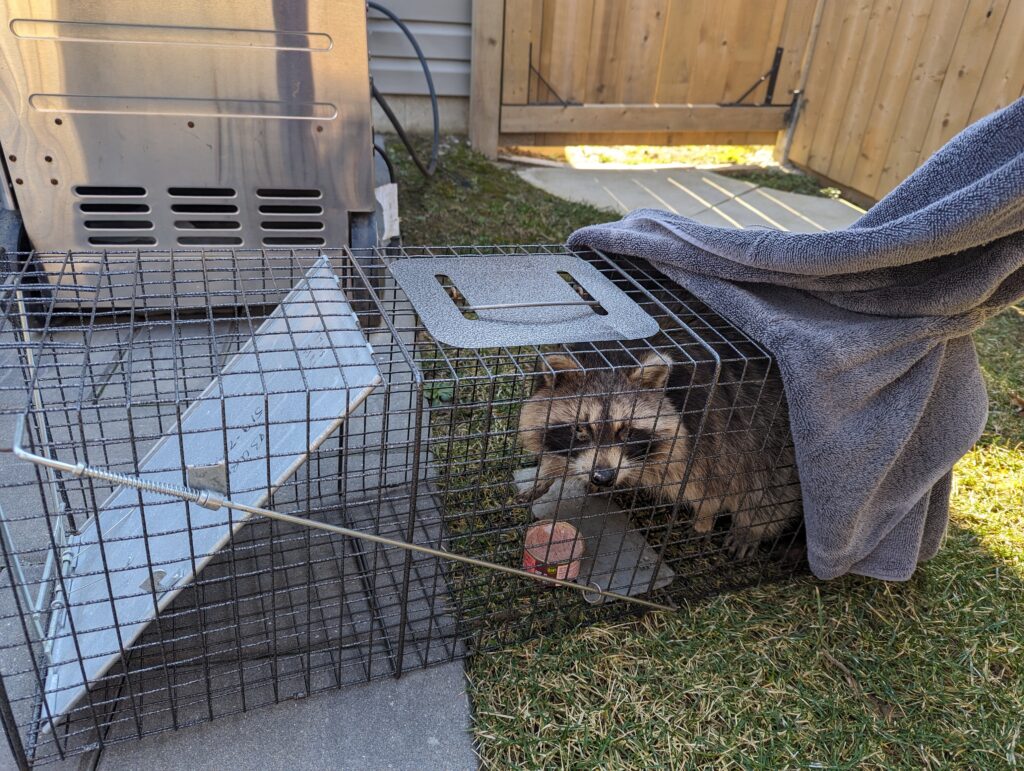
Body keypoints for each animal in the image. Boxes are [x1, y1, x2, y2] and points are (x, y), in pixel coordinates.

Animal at [520, 344, 798, 561]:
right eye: (580, 429)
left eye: (626, 432)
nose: (604, 477)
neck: (611, 356)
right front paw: (546, 472)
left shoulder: (708, 413)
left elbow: (708, 473)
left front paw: (707, 515)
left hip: (774, 423)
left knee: (770, 477)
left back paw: (753, 525)